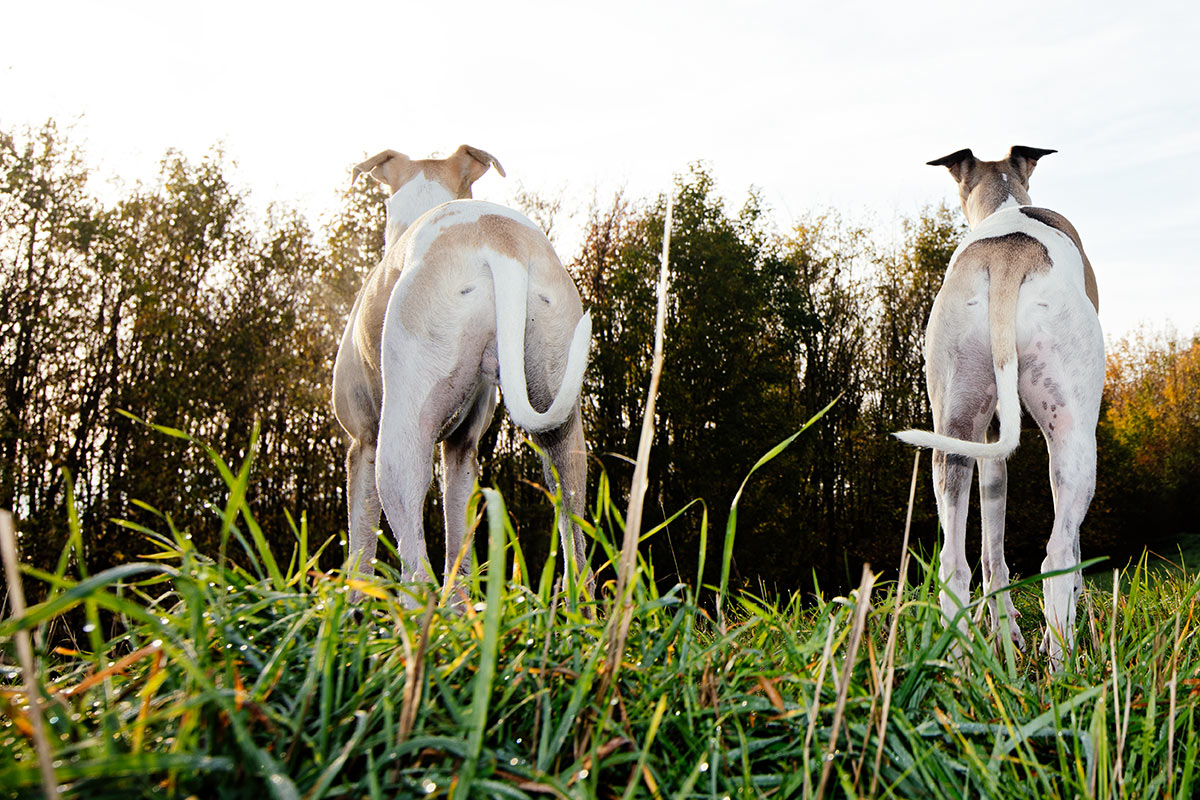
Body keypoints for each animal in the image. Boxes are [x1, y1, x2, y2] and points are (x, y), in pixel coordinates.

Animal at [331, 145, 592, 594]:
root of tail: (499, 242)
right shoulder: (462, 449)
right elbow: (459, 551)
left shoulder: (361, 444)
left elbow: (361, 552)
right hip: (561, 432)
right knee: (577, 554)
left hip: (399, 446)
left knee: (416, 569)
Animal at [902, 145, 1104, 662]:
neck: (1006, 207)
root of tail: (1007, 259)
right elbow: (1072, 548)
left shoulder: (990, 443)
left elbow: (992, 548)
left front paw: (1002, 627)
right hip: (1074, 438)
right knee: (1057, 555)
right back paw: (1063, 662)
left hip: (954, 430)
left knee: (954, 564)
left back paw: (960, 662)